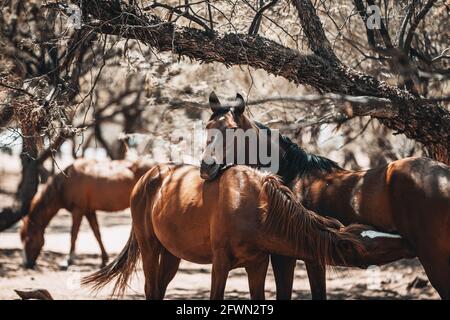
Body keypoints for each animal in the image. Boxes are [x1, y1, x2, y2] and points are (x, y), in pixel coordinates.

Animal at [20, 158, 154, 268]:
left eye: (29, 239)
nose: (27, 264)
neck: (66, 181)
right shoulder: (89, 211)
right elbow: (97, 234)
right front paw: (104, 259)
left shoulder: (78, 210)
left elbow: (73, 234)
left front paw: (69, 260)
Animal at [81, 165, 412, 300]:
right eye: (372, 246)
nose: (407, 240)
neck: (253, 206)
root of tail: (147, 177)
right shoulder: (220, 263)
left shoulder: (258, 263)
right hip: (150, 248)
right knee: (151, 289)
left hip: (171, 254)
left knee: (159, 289)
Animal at [200, 92, 450, 300]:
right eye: (208, 126)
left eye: (232, 129)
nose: (205, 168)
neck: (293, 174)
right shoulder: (314, 258)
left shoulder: (285, 257)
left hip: (435, 261)